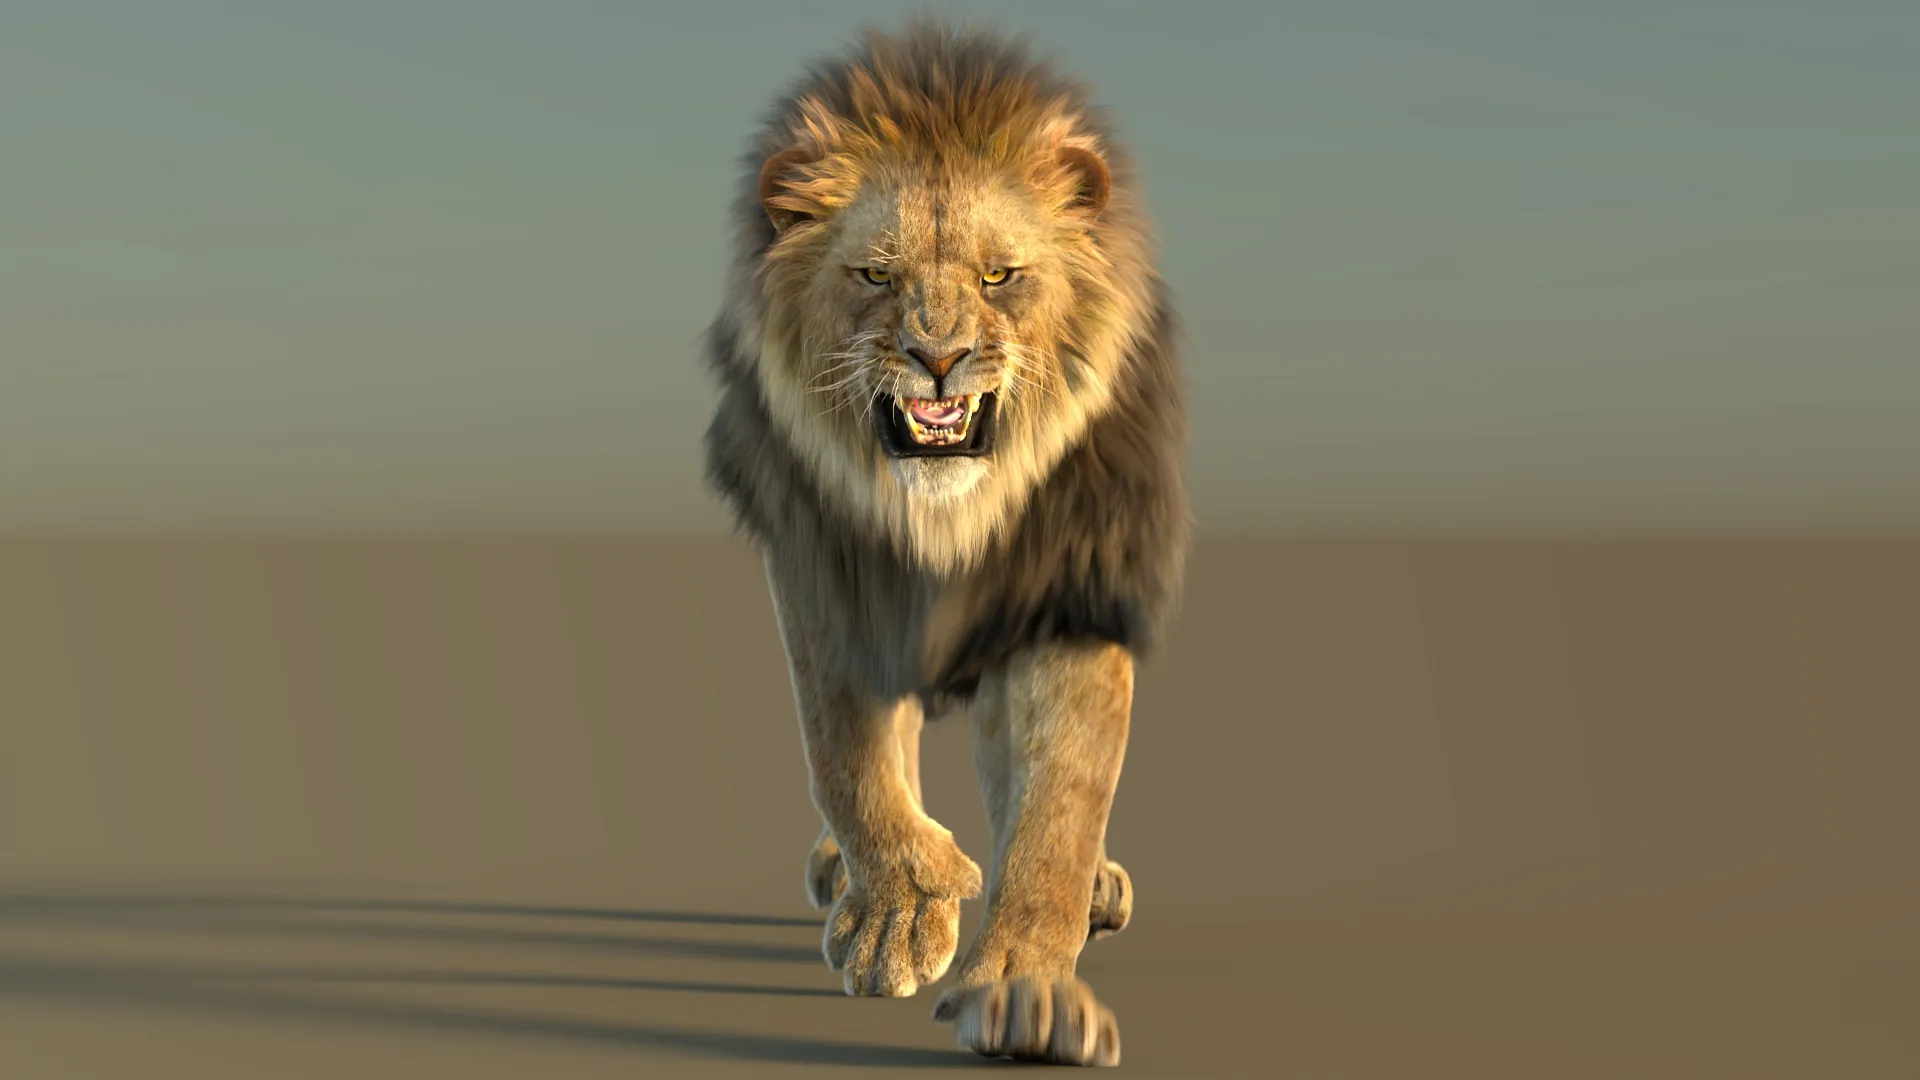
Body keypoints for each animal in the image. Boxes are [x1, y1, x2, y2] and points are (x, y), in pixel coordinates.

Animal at [700, 19, 1188, 1067]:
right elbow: (845, 754)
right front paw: (901, 905)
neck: (943, 516)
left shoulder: (1072, 581)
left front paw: (1025, 992)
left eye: (999, 276)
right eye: (875, 274)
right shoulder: (824, 563)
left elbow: (1058, 805)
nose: (938, 356)